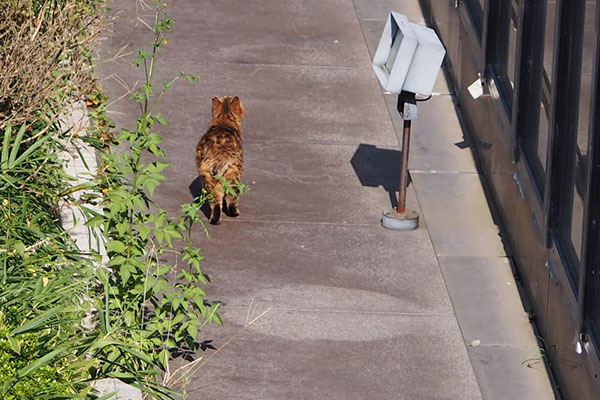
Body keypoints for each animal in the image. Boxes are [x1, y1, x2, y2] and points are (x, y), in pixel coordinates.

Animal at [196, 95, 245, 223]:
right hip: (234, 174)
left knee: (216, 202)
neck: (223, 121)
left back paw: (214, 220)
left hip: (207, 178)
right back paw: (233, 214)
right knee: (232, 198)